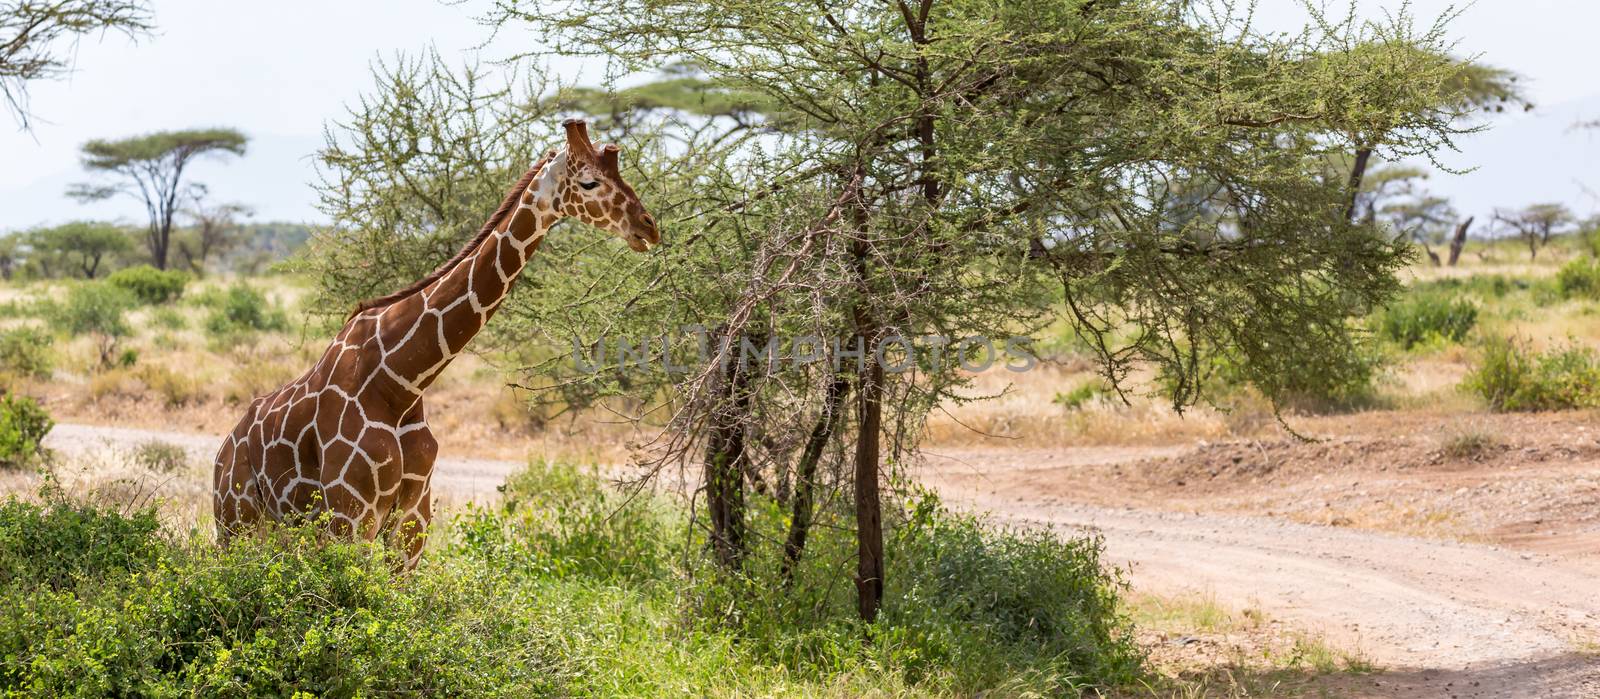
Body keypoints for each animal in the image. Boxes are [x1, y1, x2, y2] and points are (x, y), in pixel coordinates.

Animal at [212, 119, 656, 566]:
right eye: (589, 182)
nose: (648, 226)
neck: (402, 381)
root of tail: (222, 452)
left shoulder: (411, 521)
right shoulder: (350, 515)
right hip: (237, 524)